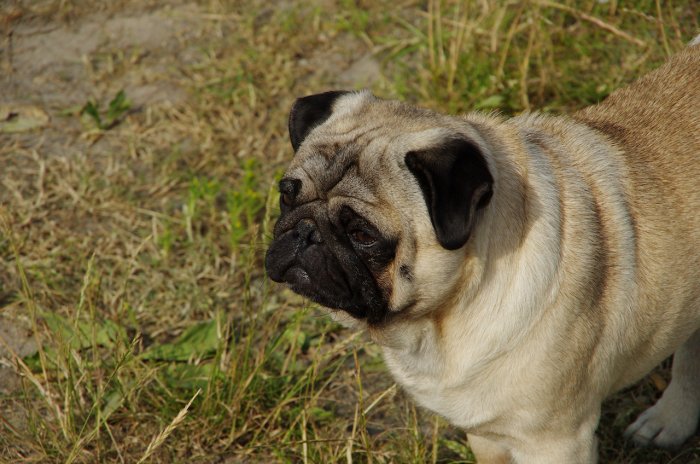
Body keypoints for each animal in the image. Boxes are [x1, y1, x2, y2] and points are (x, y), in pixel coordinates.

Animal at [264, 38, 700, 462]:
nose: (305, 232)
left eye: (363, 234)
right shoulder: (486, 433)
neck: (437, 325)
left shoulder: (555, 442)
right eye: (287, 196)